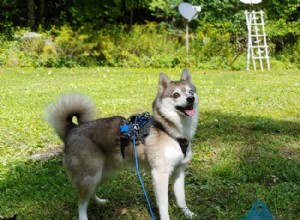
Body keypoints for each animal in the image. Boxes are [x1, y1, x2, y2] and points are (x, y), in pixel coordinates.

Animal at [45, 69, 198, 220]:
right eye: (176, 94)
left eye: (191, 92)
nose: (191, 99)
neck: (170, 130)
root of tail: (72, 129)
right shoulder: (160, 174)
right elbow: (164, 204)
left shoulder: (179, 171)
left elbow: (181, 198)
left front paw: (188, 213)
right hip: (90, 175)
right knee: (81, 202)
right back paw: (83, 216)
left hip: (102, 174)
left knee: (90, 194)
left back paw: (99, 202)